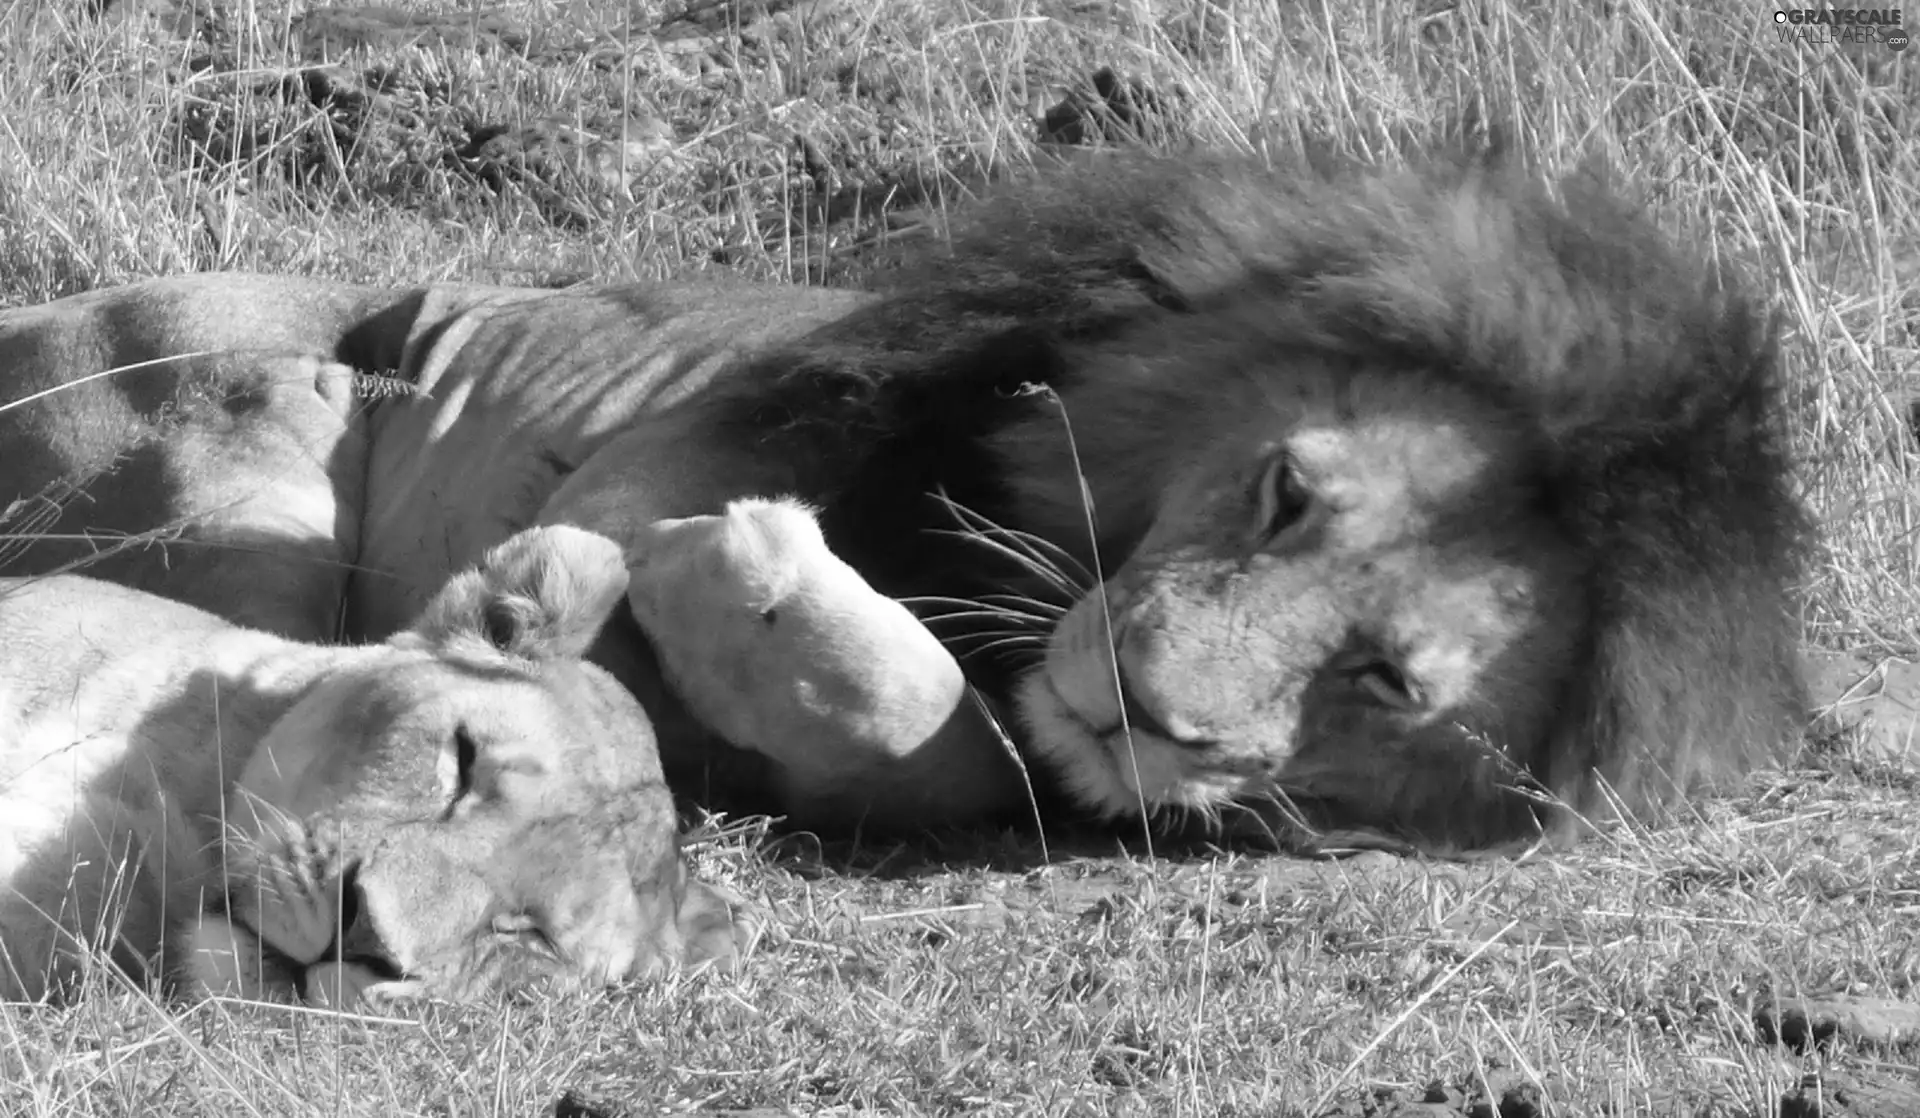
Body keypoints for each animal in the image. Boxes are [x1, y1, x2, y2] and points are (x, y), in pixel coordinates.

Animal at [0, 153, 1812, 852]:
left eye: (1381, 681)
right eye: (1286, 489)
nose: (1145, 708)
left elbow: (954, 747)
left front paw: (753, 621)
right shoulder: (676, 432)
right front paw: (734, 578)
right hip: (253, 431)